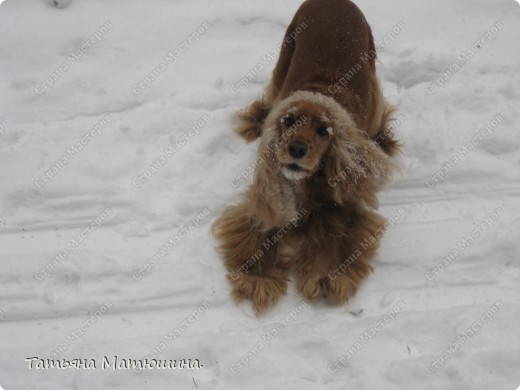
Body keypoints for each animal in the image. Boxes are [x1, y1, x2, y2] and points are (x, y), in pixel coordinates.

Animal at [213, 0, 400, 312]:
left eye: (324, 130)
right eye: (288, 121)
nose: (297, 149)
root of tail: (336, 2)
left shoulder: (343, 201)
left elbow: (335, 233)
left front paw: (325, 274)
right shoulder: (270, 195)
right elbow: (260, 230)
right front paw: (259, 277)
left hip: (370, 67)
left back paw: (383, 139)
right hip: (285, 55)